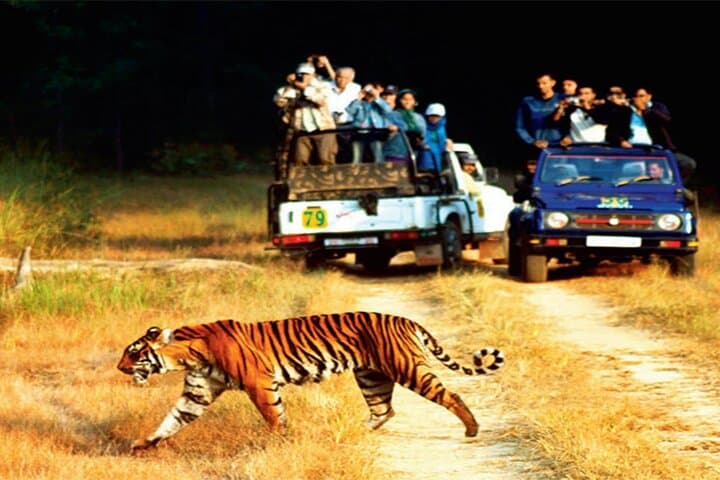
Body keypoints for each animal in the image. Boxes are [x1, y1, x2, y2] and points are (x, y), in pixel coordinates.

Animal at [117, 311, 504, 450]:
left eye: (134, 353)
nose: (119, 368)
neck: (188, 355)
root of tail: (406, 320)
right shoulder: (197, 394)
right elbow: (171, 420)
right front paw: (143, 444)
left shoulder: (259, 384)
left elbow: (274, 416)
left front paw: (280, 442)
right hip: (371, 376)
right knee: (384, 410)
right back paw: (347, 435)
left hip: (408, 369)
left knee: (451, 395)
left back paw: (472, 429)